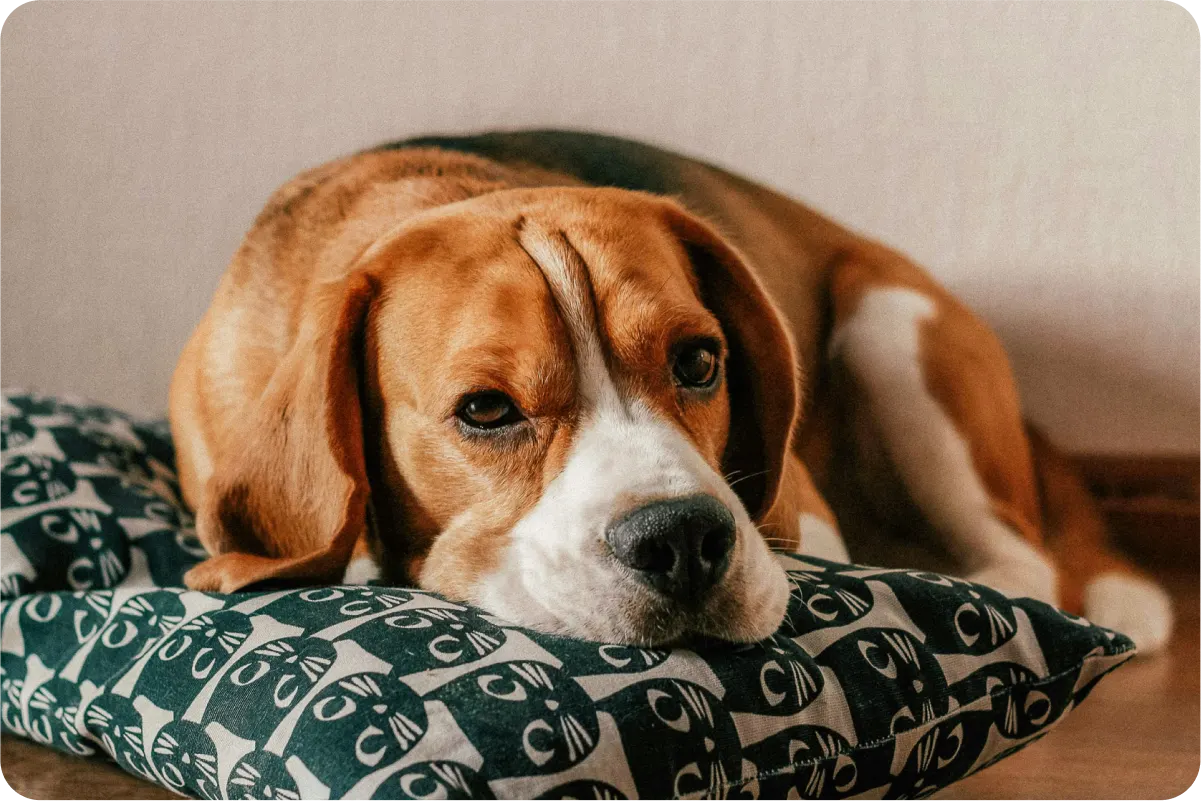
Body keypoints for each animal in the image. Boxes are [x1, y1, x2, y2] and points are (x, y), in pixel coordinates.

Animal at [169, 126, 1172, 653]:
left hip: (892, 321)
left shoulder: (802, 517)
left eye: (698, 361)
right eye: (485, 410)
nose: (683, 540)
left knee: (1028, 566)